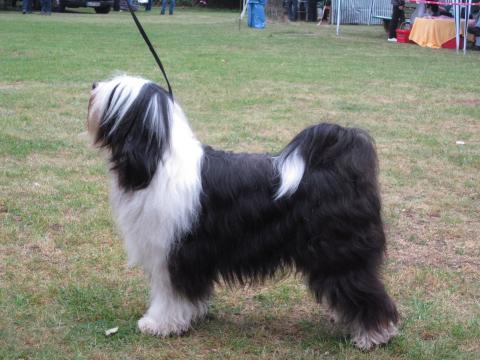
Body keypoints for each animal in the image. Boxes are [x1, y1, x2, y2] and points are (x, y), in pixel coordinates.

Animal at [86, 75, 398, 348]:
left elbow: (169, 295)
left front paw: (159, 324)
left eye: (115, 93)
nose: (93, 86)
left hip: (338, 251)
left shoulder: (173, 253)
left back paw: (374, 336)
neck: (156, 162)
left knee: (365, 291)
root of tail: (342, 166)